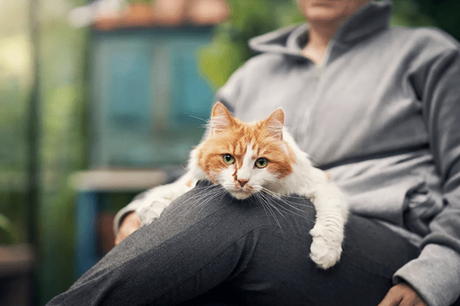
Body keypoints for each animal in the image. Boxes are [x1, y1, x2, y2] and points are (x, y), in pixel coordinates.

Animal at [135, 103, 346, 270]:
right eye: (228, 158)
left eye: (261, 163)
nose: (242, 181)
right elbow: (171, 192)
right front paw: (150, 207)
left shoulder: (322, 183)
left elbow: (331, 216)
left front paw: (326, 251)